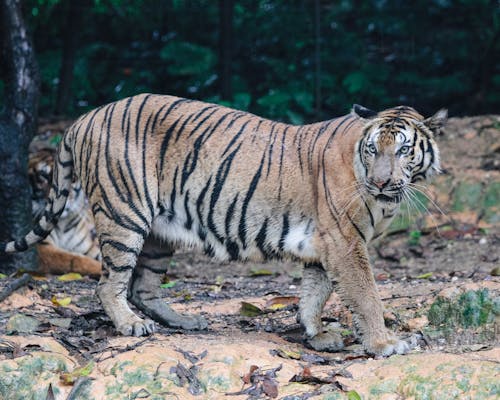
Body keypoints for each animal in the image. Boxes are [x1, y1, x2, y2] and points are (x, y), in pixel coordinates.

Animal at [28, 148, 101, 276]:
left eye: (72, 178)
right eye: (44, 176)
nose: (60, 201)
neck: (62, 224)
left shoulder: (90, 246)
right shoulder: (43, 249)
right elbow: (74, 260)